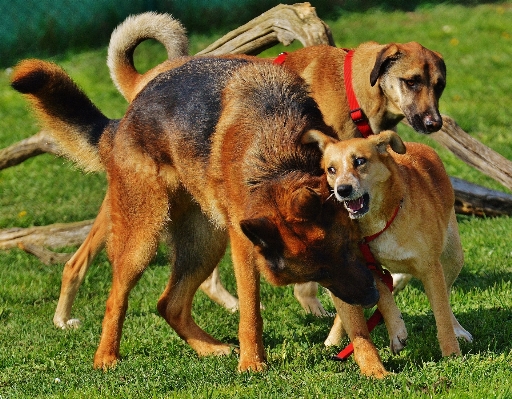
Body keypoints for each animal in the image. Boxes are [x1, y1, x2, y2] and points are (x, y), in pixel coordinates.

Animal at [13, 56, 380, 372]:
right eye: (316, 273)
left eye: (349, 250)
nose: (373, 295)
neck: (278, 157)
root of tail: (121, 121)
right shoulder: (246, 248)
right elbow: (250, 312)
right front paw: (252, 363)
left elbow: (353, 321)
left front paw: (373, 367)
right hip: (143, 241)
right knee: (116, 299)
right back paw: (106, 357)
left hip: (204, 244)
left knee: (169, 304)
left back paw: (209, 348)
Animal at [302, 130, 474, 374]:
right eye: (331, 169)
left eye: (360, 161)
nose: (342, 190)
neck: (382, 220)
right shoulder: (367, 266)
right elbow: (383, 296)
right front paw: (397, 332)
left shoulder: (431, 269)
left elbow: (441, 313)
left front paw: (451, 354)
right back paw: (333, 341)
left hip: (452, 257)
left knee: (447, 297)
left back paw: (458, 329)